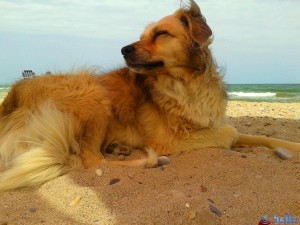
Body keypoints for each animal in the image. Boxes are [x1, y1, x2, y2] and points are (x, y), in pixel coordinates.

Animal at [0, 0, 300, 192]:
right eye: (143, 35)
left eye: (162, 33)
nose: (123, 49)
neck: (186, 84)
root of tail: (12, 98)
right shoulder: (169, 139)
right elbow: (232, 132)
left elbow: (263, 137)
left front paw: (290, 145)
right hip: (93, 93)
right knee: (91, 161)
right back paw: (145, 159)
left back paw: (118, 148)